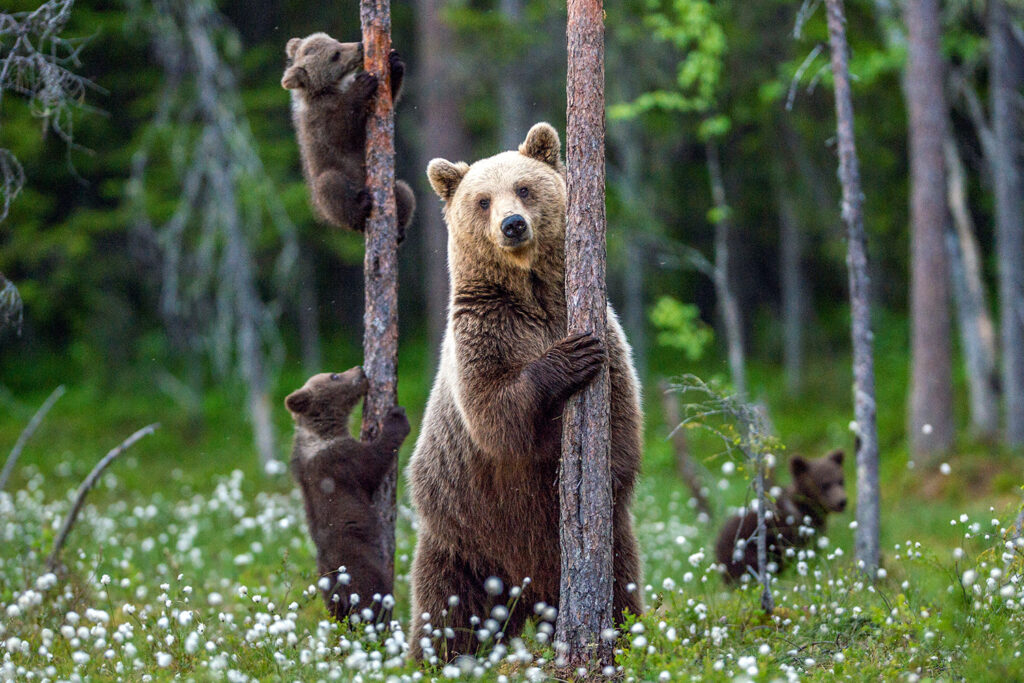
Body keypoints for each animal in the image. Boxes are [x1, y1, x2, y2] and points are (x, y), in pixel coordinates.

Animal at [282, 32, 415, 241]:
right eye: (335, 55)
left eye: (336, 41)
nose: (360, 45)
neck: (329, 89)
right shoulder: (319, 120)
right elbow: (341, 132)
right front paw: (363, 84)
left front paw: (394, 63)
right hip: (327, 191)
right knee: (330, 186)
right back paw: (361, 207)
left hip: (394, 188)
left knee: (404, 191)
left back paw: (399, 229)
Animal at [285, 367, 411, 621]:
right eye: (334, 375)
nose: (360, 370)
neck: (323, 432)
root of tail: (337, 583)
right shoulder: (341, 460)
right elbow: (374, 462)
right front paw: (396, 417)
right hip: (361, 568)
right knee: (373, 598)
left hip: (326, 590)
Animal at [406, 122, 644, 660]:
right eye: (482, 200)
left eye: (524, 187)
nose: (512, 224)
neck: (530, 292)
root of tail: (527, 592)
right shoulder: (484, 332)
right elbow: (496, 414)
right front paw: (569, 358)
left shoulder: (601, 328)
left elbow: (621, 417)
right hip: (463, 536)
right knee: (446, 611)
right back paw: (433, 658)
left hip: (608, 545)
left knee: (621, 586)